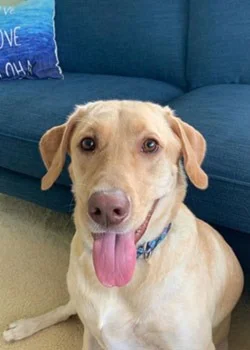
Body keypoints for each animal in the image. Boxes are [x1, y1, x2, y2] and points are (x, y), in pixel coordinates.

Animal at [2, 100, 243, 348]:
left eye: (150, 145)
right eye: (88, 143)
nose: (107, 208)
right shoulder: (92, 335)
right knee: (65, 309)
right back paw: (23, 327)